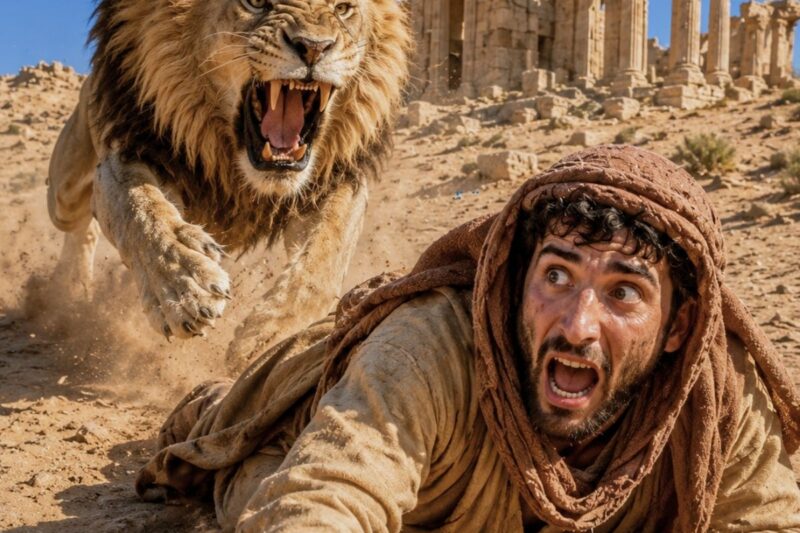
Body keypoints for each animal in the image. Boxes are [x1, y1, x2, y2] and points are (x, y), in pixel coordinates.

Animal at [46, 0, 411, 368]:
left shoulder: (335, 178)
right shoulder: (128, 150)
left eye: (343, 9)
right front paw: (183, 287)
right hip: (64, 191)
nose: (314, 47)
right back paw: (71, 283)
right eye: (256, 3)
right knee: (78, 220)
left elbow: (324, 257)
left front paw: (271, 337)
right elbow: (142, 214)